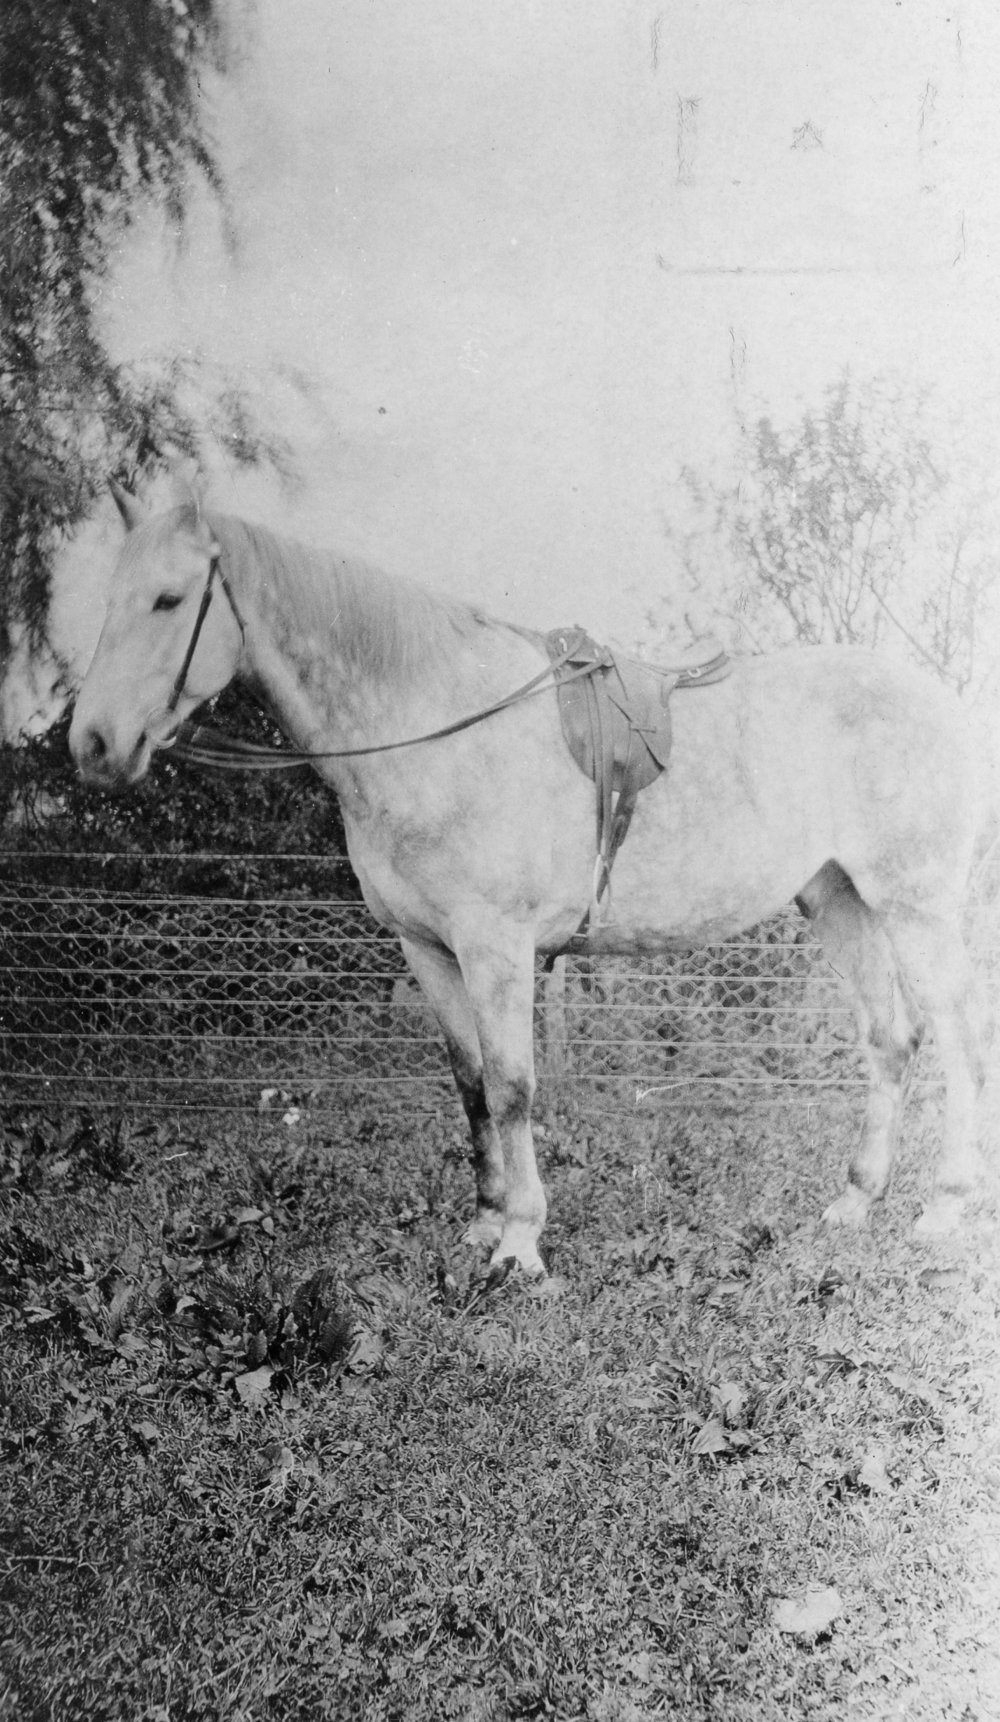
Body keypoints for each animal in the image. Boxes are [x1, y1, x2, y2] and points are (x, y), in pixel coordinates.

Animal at [69, 485, 989, 1274]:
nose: (92, 744)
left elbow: (514, 1088)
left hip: (916, 906)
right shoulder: (427, 950)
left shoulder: (497, 946)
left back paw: (944, 1207)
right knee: (890, 1039)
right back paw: (856, 1200)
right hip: (837, 901)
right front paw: (483, 1223)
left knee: (956, 1041)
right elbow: (472, 1083)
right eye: (108, 598)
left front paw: (521, 1244)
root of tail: (942, 701)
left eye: (168, 600)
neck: (433, 726)